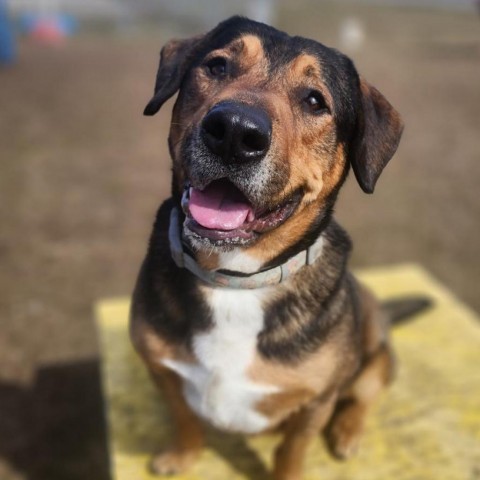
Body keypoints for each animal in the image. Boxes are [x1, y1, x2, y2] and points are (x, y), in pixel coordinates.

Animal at [129, 16, 430, 478]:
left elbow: (292, 450)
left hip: (374, 358)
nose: (234, 132)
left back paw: (348, 431)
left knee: (365, 392)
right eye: (217, 67)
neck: (234, 279)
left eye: (315, 100)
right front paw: (182, 455)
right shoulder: (160, 369)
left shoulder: (316, 401)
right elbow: (183, 416)